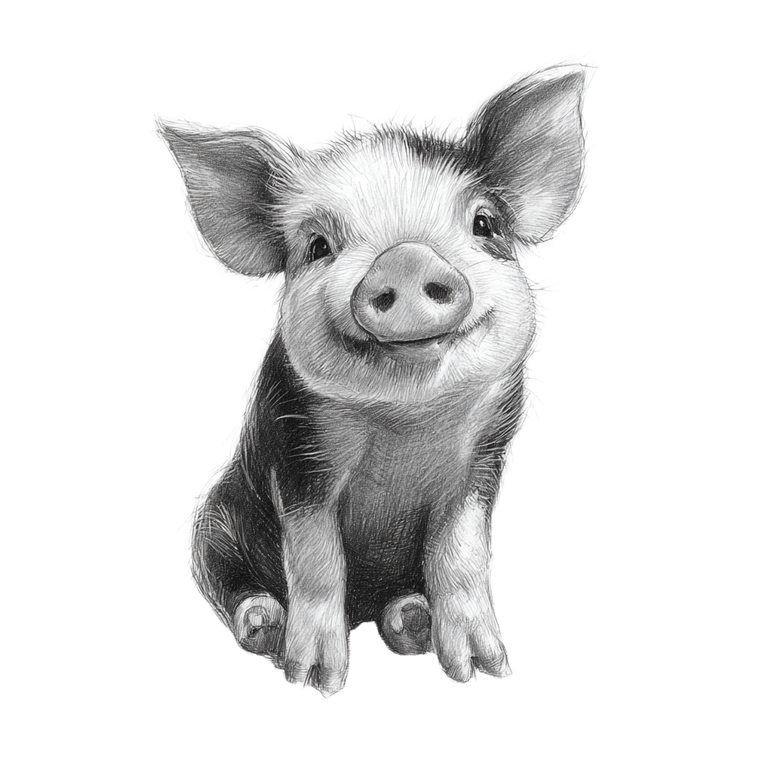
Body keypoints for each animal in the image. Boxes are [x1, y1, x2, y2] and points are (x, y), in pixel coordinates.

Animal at [148, 49, 602, 699]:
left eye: (485, 223)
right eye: (316, 245)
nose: (405, 258)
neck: (405, 425)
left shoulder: (484, 460)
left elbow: (460, 558)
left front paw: (483, 670)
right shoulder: (297, 453)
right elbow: (316, 560)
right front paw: (315, 679)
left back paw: (411, 623)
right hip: (210, 520)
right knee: (231, 579)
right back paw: (264, 626)